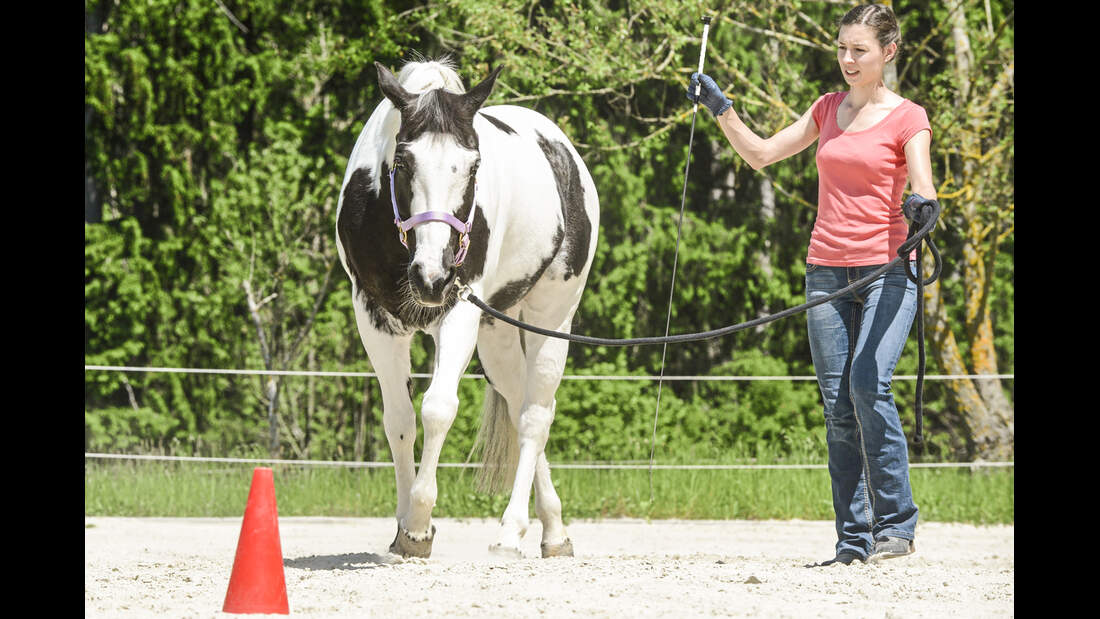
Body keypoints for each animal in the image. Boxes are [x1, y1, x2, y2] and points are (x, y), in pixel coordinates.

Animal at [335, 57, 600, 559]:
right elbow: (399, 420)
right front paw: (403, 530)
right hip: (496, 335)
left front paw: (420, 524)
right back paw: (551, 528)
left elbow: (438, 408)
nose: (432, 275)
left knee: (536, 416)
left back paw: (515, 533)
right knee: (518, 406)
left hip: (552, 318)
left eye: (474, 166)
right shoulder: (373, 316)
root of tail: (564, 154)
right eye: (402, 162)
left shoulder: (459, 312)